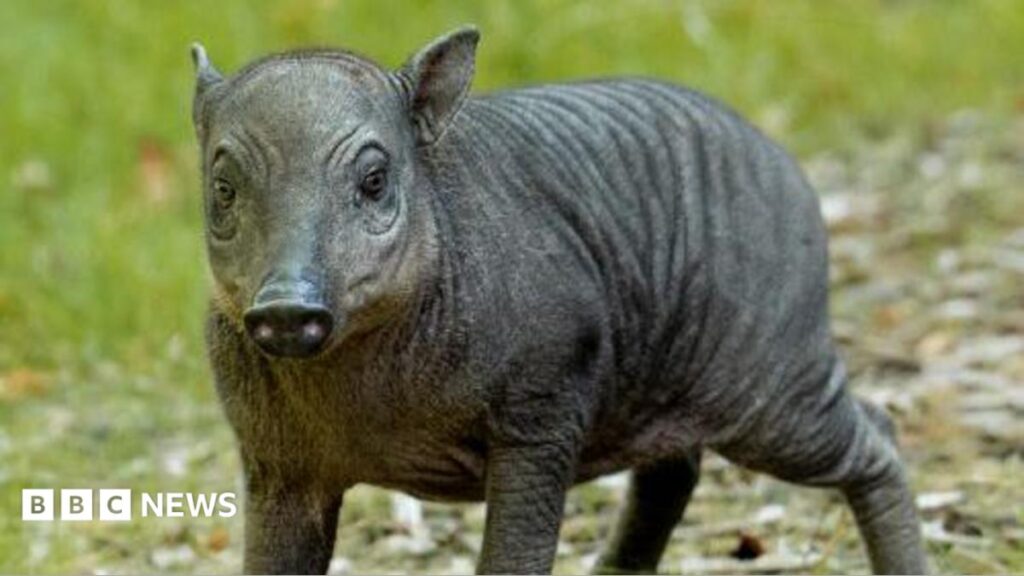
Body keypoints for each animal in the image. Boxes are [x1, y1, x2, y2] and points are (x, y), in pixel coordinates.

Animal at [190, 26, 927, 575]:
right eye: (223, 188)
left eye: (373, 180)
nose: (286, 309)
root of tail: (785, 163)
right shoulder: (277, 465)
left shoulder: (541, 418)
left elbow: (512, 558)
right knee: (672, 474)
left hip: (772, 388)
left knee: (878, 437)